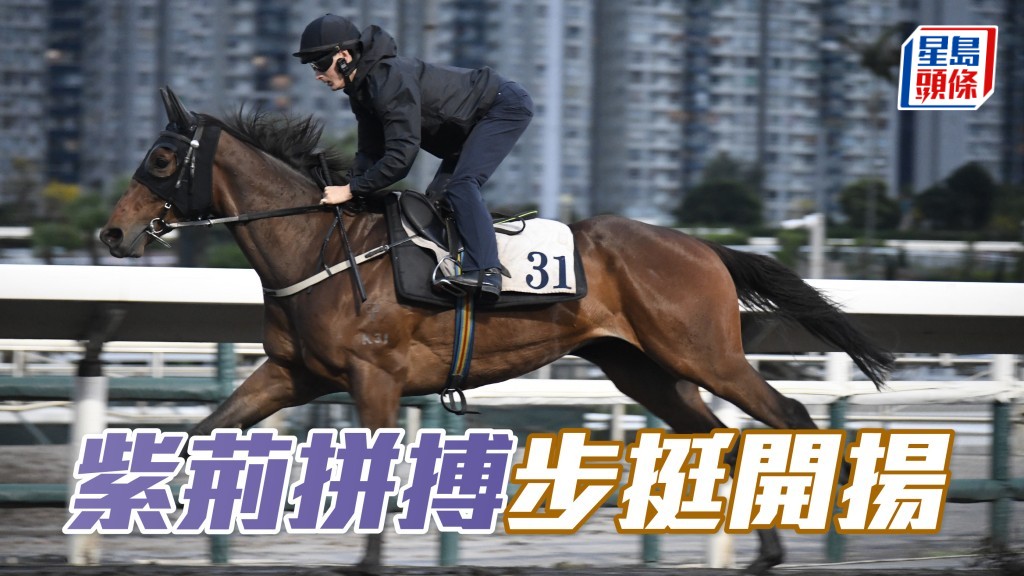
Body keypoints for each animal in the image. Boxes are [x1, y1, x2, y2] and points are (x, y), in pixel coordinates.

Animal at [100, 88, 893, 574]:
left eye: (162, 158)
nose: (113, 233)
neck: (318, 248)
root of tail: (702, 248)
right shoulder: (292, 374)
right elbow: (202, 432)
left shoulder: (374, 376)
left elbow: (374, 469)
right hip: (644, 369)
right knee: (727, 442)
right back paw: (765, 553)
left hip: (705, 354)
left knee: (786, 415)